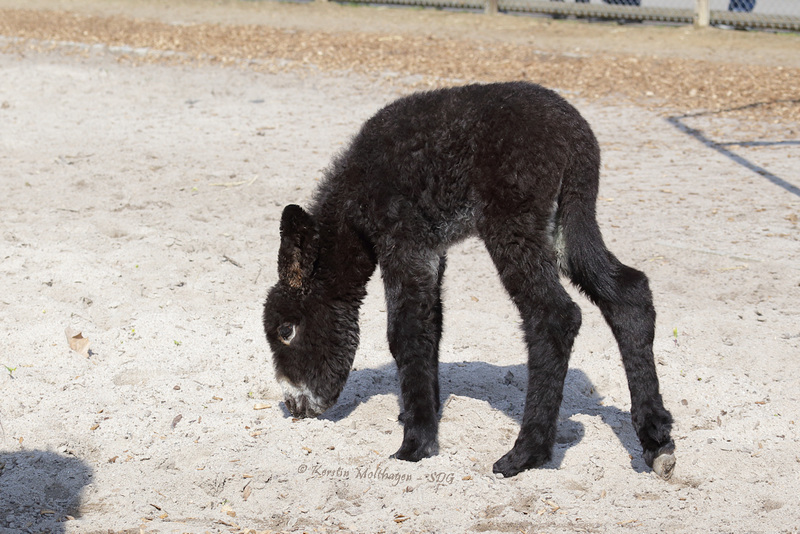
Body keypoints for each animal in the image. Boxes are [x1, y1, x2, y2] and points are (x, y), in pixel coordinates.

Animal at [262, 81, 676, 480]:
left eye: (286, 331)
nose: (294, 406)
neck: (355, 198)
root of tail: (573, 134)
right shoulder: (433, 252)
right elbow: (432, 327)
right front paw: (422, 416)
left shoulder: (403, 240)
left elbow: (406, 334)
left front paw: (415, 445)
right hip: (570, 221)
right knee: (628, 294)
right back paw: (656, 439)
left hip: (512, 222)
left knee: (555, 316)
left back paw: (526, 454)